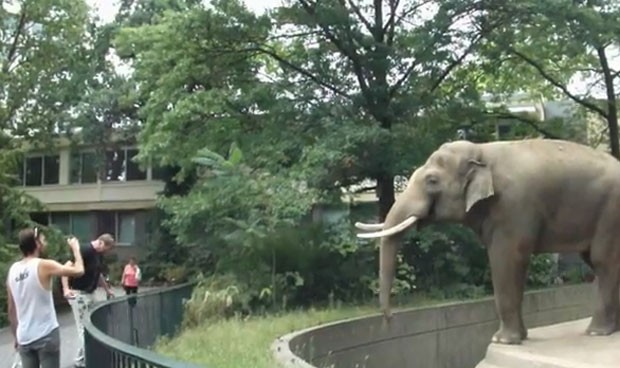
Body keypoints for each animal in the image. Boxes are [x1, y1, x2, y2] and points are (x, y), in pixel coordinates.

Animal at [356, 138, 620, 344]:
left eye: (432, 180)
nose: (389, 320)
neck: (481, 150)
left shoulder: (513, 206)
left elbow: (507, 258)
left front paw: (502, 340)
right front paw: (518, 338)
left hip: (611, 213)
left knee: (602, 261)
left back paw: (596, 333)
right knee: (596, 260)